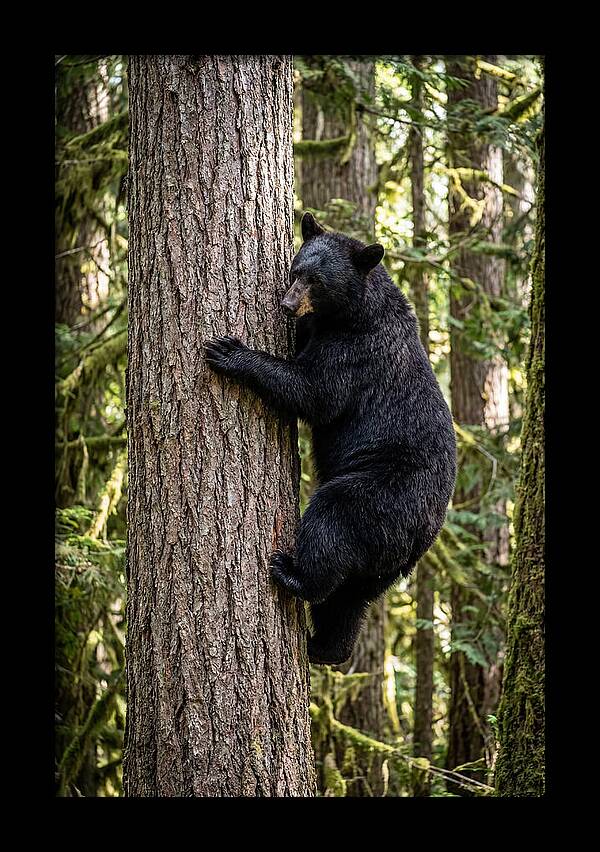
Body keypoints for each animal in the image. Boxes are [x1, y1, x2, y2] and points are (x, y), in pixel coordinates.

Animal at [204, 211, 456, 666]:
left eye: (317, 281)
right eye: (296, 270)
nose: (287, 304)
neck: (353, 313)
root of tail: (425, 534)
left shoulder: (356, 352)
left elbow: (314, 391)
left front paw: (231, 351)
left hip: (380, 495)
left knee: (332, 523)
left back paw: (291, 574)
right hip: (384, 563)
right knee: (350, 598)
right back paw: (326, 647)